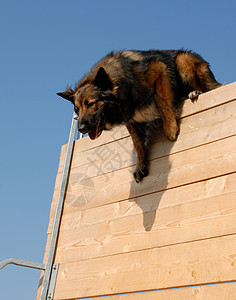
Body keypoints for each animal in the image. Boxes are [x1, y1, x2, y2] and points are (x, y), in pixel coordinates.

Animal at [57, 49, 221, 183]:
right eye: (77, 109)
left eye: (91, 103)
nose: (82, 128)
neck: (124, 84)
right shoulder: (131, 119)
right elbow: (137, 144)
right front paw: (141, 166)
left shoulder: (160, 69)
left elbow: (162, 100)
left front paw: (170, 128)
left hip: (182, 61)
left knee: (207, 88)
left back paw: (194, 92)